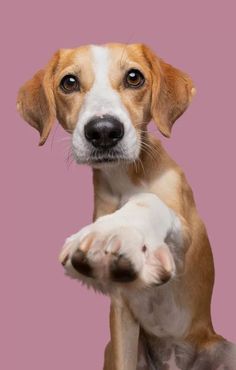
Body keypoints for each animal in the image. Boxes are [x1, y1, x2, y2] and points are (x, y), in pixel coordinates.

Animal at [17, 44, 236, 370]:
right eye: (69, 82)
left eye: (134, 77)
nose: (104, 131)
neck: (125, 179)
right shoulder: (121, 314)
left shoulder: (185, 243)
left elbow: (151, 202)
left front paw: (117, 230)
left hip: (223, 347)